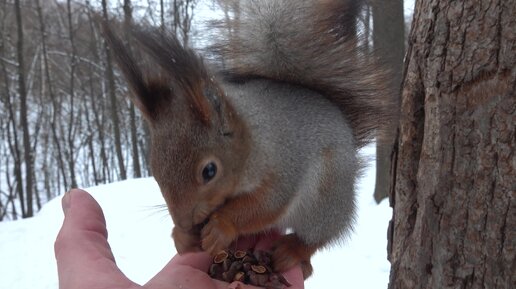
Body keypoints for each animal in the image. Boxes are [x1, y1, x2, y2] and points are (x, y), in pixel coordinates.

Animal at [103, 0, 394, 278]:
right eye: (155, 170)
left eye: (209, 171)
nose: (184, 222)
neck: (253, 140)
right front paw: (182, 237)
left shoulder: (284, 166)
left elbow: (266, 204)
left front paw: (221, 226)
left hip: (325, 199)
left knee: (318, 237)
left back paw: (292, 250)